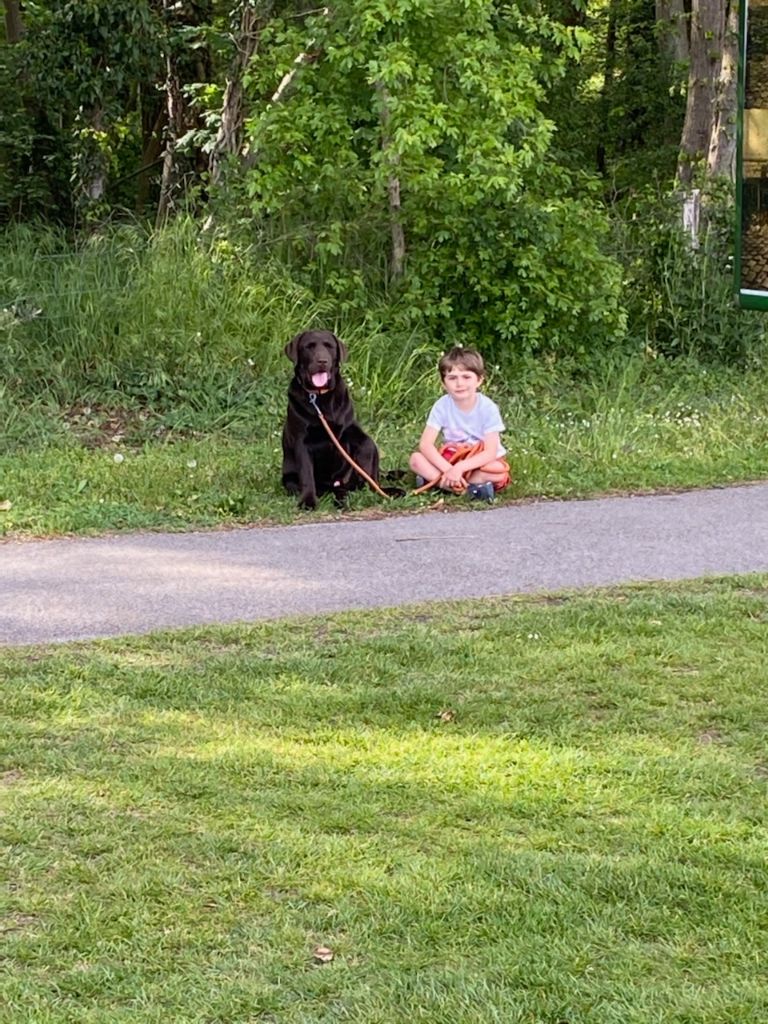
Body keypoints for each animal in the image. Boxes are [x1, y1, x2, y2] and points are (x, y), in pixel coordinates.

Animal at [280, 331, 380, 507]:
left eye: (329, 346)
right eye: (309, 346)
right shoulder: (301, 441)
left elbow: (366, 444)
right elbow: (306, 474)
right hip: (290, 479)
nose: (322, 361)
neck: (319, 397)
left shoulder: (350, 429)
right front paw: (308, 501)